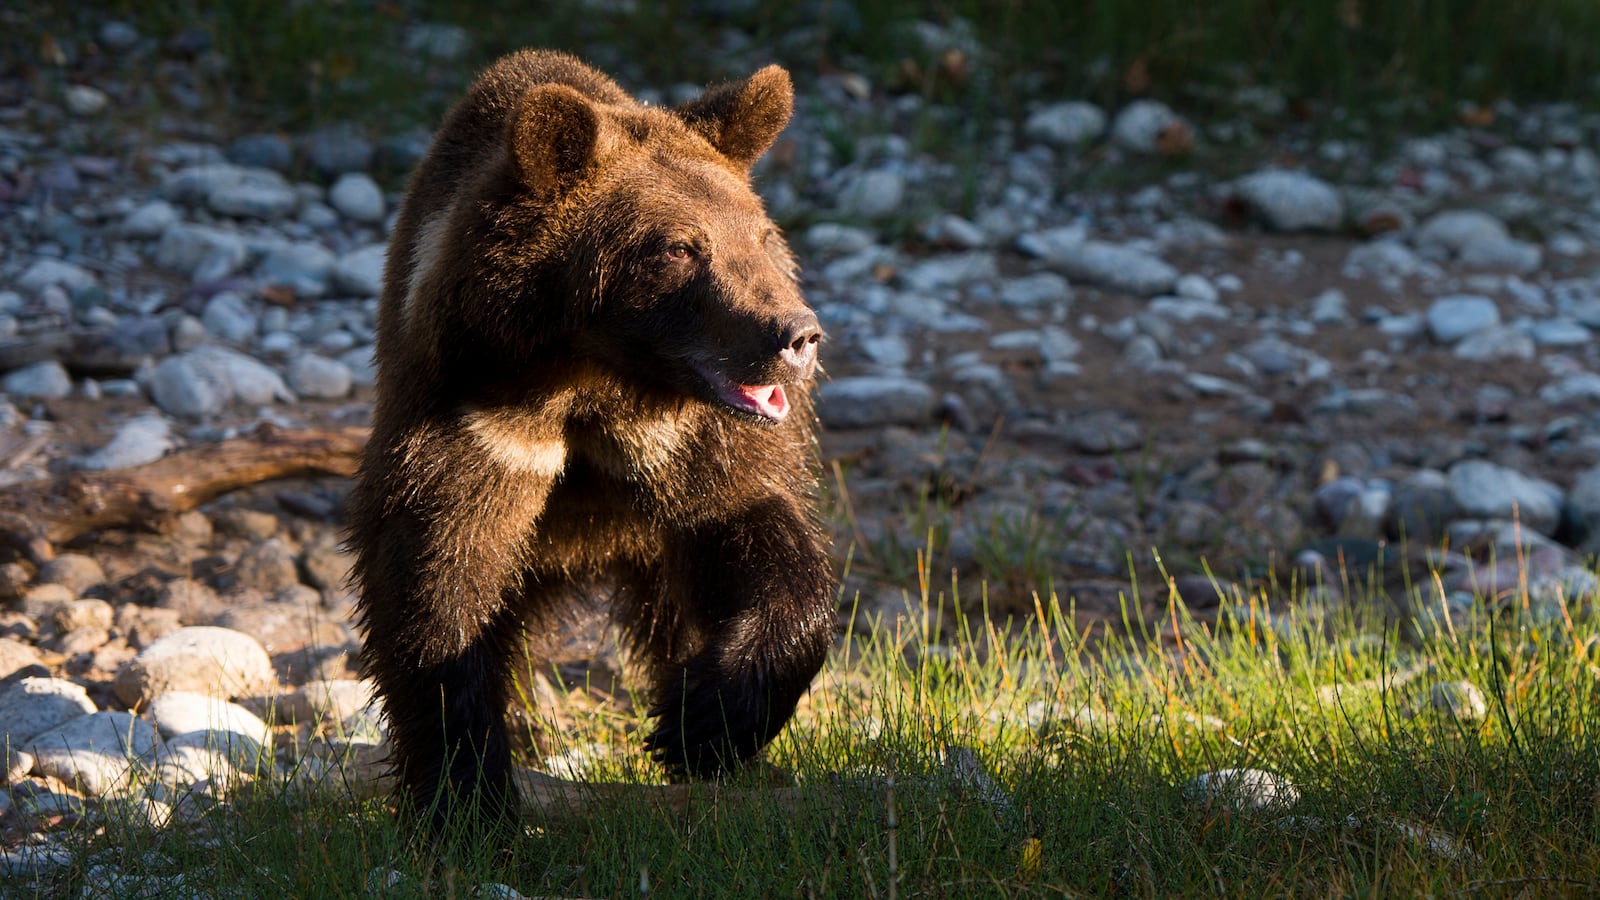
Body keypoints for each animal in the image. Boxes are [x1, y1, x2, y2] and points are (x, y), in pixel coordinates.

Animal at [345, 49, 836, 834]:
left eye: (760, 236)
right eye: (678, 248)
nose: (795, 336)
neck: (590, 380)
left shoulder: (690, 442)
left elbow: (757, 534)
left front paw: (702, 723)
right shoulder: (479, 425)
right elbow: (441, 586)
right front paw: (467, 799)